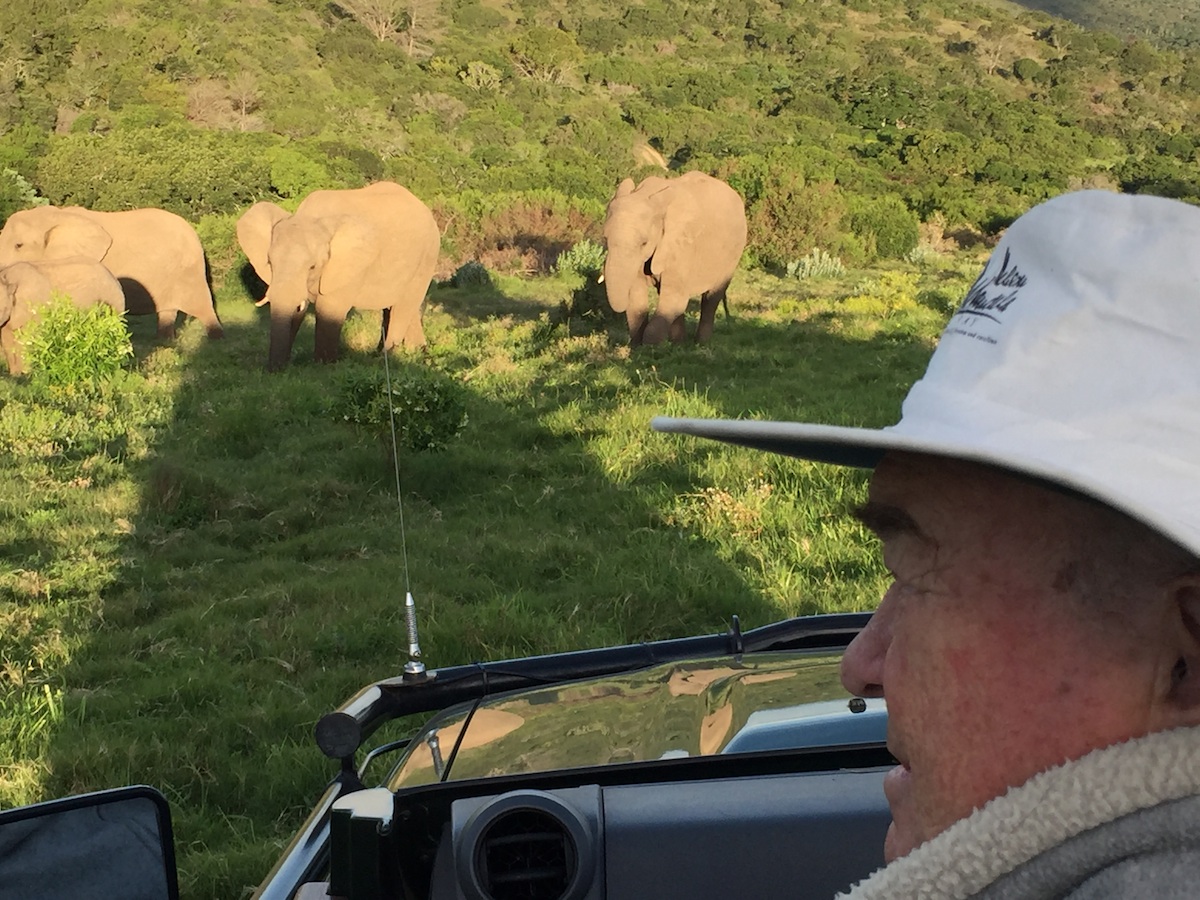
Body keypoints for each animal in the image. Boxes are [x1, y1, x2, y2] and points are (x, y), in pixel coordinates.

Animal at [236, 181, 440, 371]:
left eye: (312, 266)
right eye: (270, 263)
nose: (274, 370)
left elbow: (329, 308)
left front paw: (323, 366)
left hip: (427, 256)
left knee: (404, 305)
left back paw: (388, 358)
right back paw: (415, 353)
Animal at [602, 171, 747, 346]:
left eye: (644, 243)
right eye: (605, 239)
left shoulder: (682, 245)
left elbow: (673, 297)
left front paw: (650, 349)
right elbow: (637, 295)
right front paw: (636, 347)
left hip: (733, 253)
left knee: (711, 298)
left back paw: (700, 344)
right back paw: (679, 344)